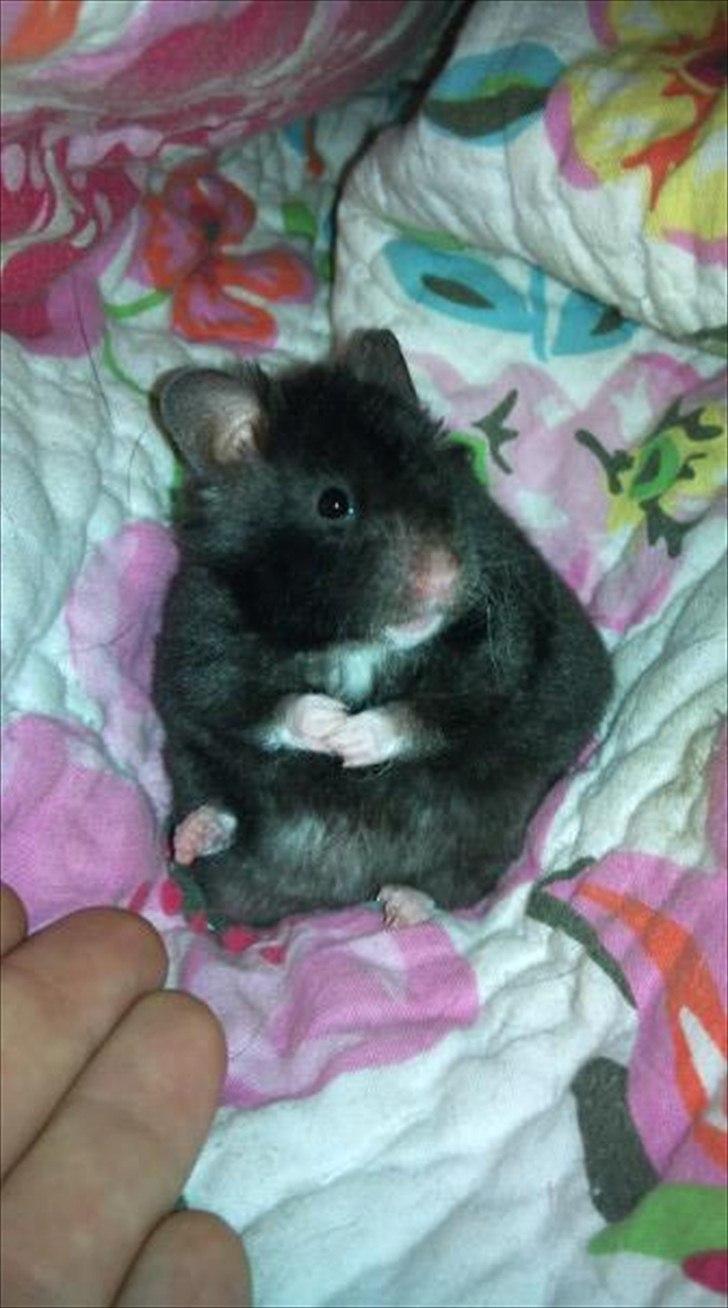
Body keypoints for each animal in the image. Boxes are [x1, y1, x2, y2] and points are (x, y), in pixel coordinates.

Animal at [151, 330, 612, 928]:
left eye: (446, 471)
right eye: (334, 504)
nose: (448, 574)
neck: (357, 640)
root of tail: (341, 891)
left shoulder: (506, 642)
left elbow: (435, 711)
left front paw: (351, 740)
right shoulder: (198, 646)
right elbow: (251, 704)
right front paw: (330, 725)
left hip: (489, 827)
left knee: (455, 882)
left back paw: (401, 904)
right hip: (197, 773)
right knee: (222, 813)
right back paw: (195, 834)